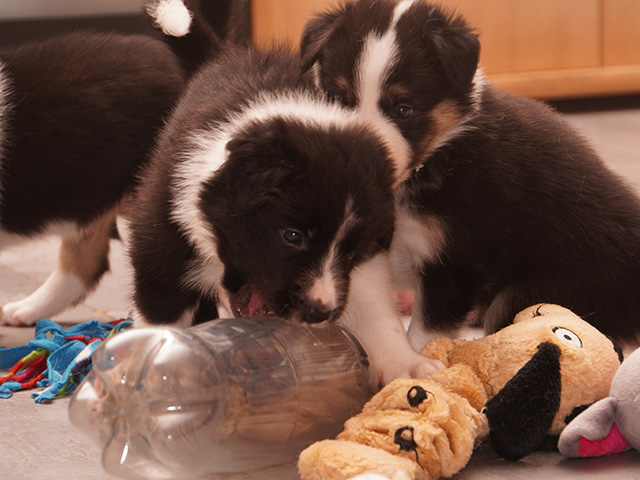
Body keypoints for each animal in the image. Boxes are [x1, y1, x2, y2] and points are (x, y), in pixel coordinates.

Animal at [300, 0, 640, 351]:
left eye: (403, 110)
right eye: (339, 100)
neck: (434, 159)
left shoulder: (457, 261)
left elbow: (426, 333)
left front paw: (427, 361)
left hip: (532, 291)